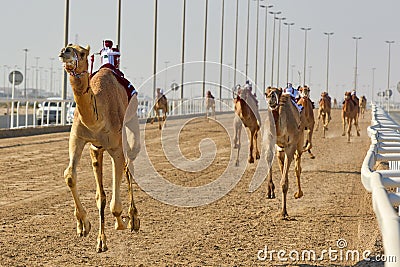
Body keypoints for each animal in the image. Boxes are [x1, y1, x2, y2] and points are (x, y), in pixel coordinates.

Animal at [58, 44, 141, 253]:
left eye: (82, 53)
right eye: (67, 47)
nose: (66, 51)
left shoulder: (115, 147)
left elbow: (115, 193)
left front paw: (120, 222)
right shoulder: (79, 139)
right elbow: (72, 177)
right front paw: (85, 228)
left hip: (130, 124)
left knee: (130, 165)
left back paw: (133, 219)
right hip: (99, 149)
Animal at [264, 88, 304, 220]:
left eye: (277, 92)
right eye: (266, 93)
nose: (271, 98)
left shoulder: (290, 146)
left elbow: (284, 183)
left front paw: (283, 212)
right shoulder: (270, 142)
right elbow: (268, 157)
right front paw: (270, 191)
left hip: (300, 140)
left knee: (298, 167)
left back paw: (299, 193)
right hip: (280, 150)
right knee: (283, 167)